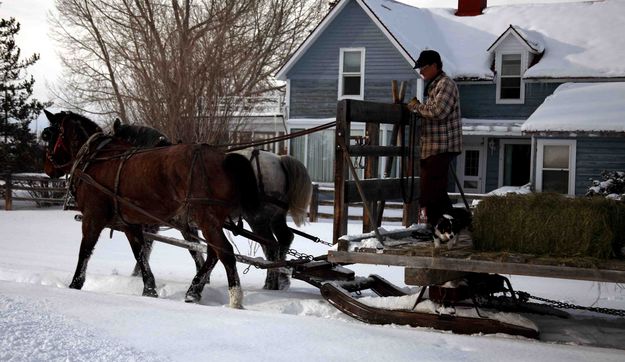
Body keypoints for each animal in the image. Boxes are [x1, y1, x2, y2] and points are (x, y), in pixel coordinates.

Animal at [42, 109, 258, 306]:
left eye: (48, 135)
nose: (47, 169)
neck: (96, 159)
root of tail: (223, 159)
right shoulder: (130, 222)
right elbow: (140, 253)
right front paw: (149, 289)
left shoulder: (92, 217)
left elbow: (85, 250)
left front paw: (75, 283)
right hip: (209, 221)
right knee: (214, 253)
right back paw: (193, 291)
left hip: (206, 218)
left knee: (225, 252)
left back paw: (234, 298)